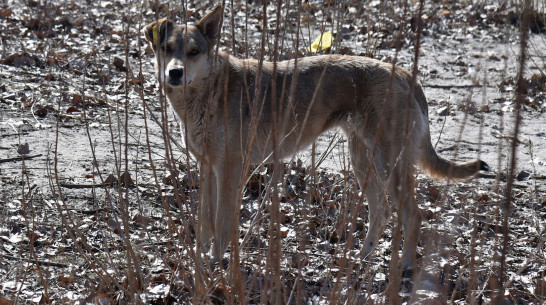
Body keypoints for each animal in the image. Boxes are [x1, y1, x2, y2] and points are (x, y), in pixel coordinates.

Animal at [142, 5, 486, 270]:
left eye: (193, 52)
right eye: (166, 49)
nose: (174, 73)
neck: (208, 93)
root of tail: (406, 75)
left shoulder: (229, 170)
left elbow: (223, 225)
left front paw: (217, 268)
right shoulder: (207, 168)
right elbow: (205, 224)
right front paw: (201, 265)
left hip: (389, 164)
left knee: (413, 215)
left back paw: (405, 268)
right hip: (364, 161)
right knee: (381, 213)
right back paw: (361, 260)